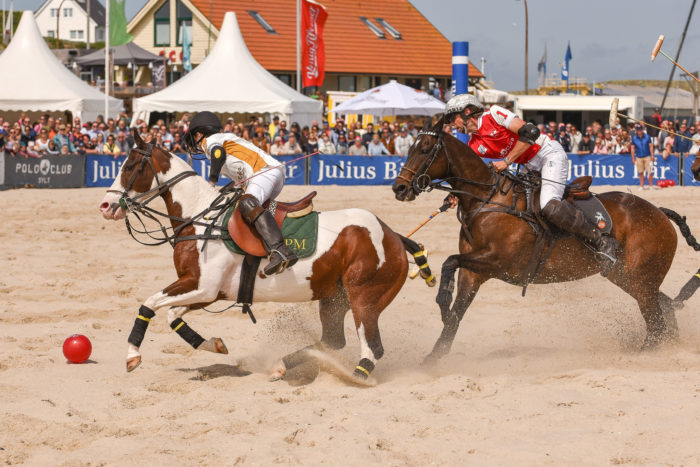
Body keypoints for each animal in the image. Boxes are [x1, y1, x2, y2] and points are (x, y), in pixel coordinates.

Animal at [95, 131, 430, 380]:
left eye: (129, 167)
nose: (105, 206)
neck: (200, 219)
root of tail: (394, 236)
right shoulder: (208, 291)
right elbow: (172, 314)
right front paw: (214, 345)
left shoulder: (203, 287)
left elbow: (149, 304)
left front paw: (132, 356)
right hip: (334, 297)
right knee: (333, 340)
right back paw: (283, 365)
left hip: (365, 296)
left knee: (372, 347)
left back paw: (356, 377)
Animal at [394, 119, 688, 362]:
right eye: (410, 148)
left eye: (425, 149)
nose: (399, 188)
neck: (487, 200)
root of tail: (660, 213)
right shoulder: (474, 271)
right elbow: (457, 308)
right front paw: (435, 354)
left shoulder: (498, 261)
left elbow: (449, 262)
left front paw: (443, 299)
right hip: (628, 276)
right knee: (663, 307)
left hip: (640, 277)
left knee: (656, 319)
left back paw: (647, 353)